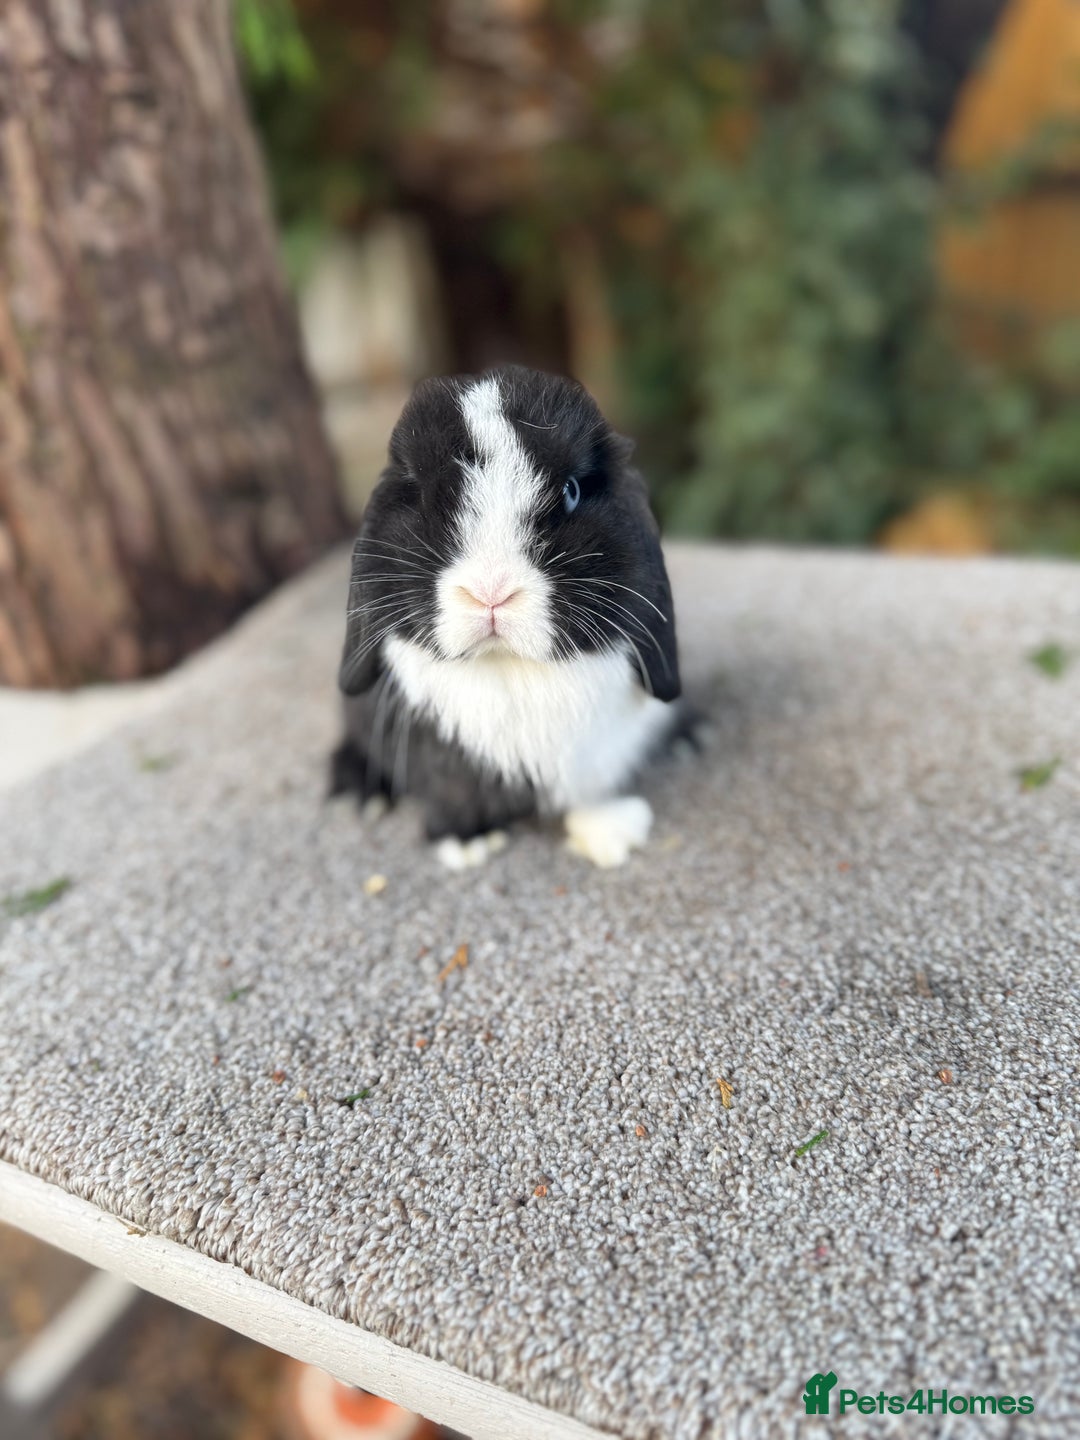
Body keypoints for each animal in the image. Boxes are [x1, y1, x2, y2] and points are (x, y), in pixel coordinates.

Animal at [330, 364, 683, 869]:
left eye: (571, 491)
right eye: (421, 494)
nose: (491, 591)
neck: (509, 666)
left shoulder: (596, 752)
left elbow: (591, 789)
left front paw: (612, 833)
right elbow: (450, 792)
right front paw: (465, 843)